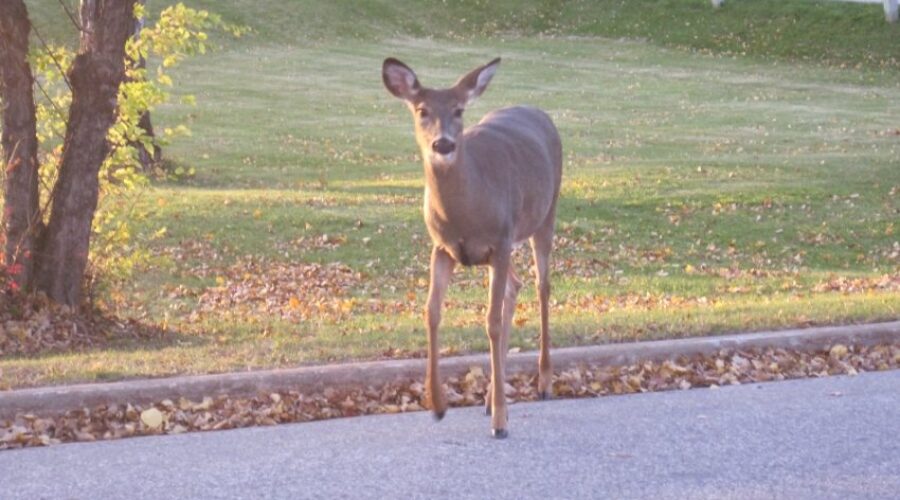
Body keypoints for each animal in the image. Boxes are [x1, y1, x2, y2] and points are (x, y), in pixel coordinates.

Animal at [382, 57, 562, 438]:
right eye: (422, 110)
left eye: (459, 110)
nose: (443, 145)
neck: (465, 211)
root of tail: (538, 111)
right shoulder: (443, 248)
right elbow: (432, 312)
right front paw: (437, 405)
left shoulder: (501, 240)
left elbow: (490, 322)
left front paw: (501, 423)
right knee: (516, 286)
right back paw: (490, 399)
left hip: (545, 215)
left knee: (542, 287)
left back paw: (542, 384)